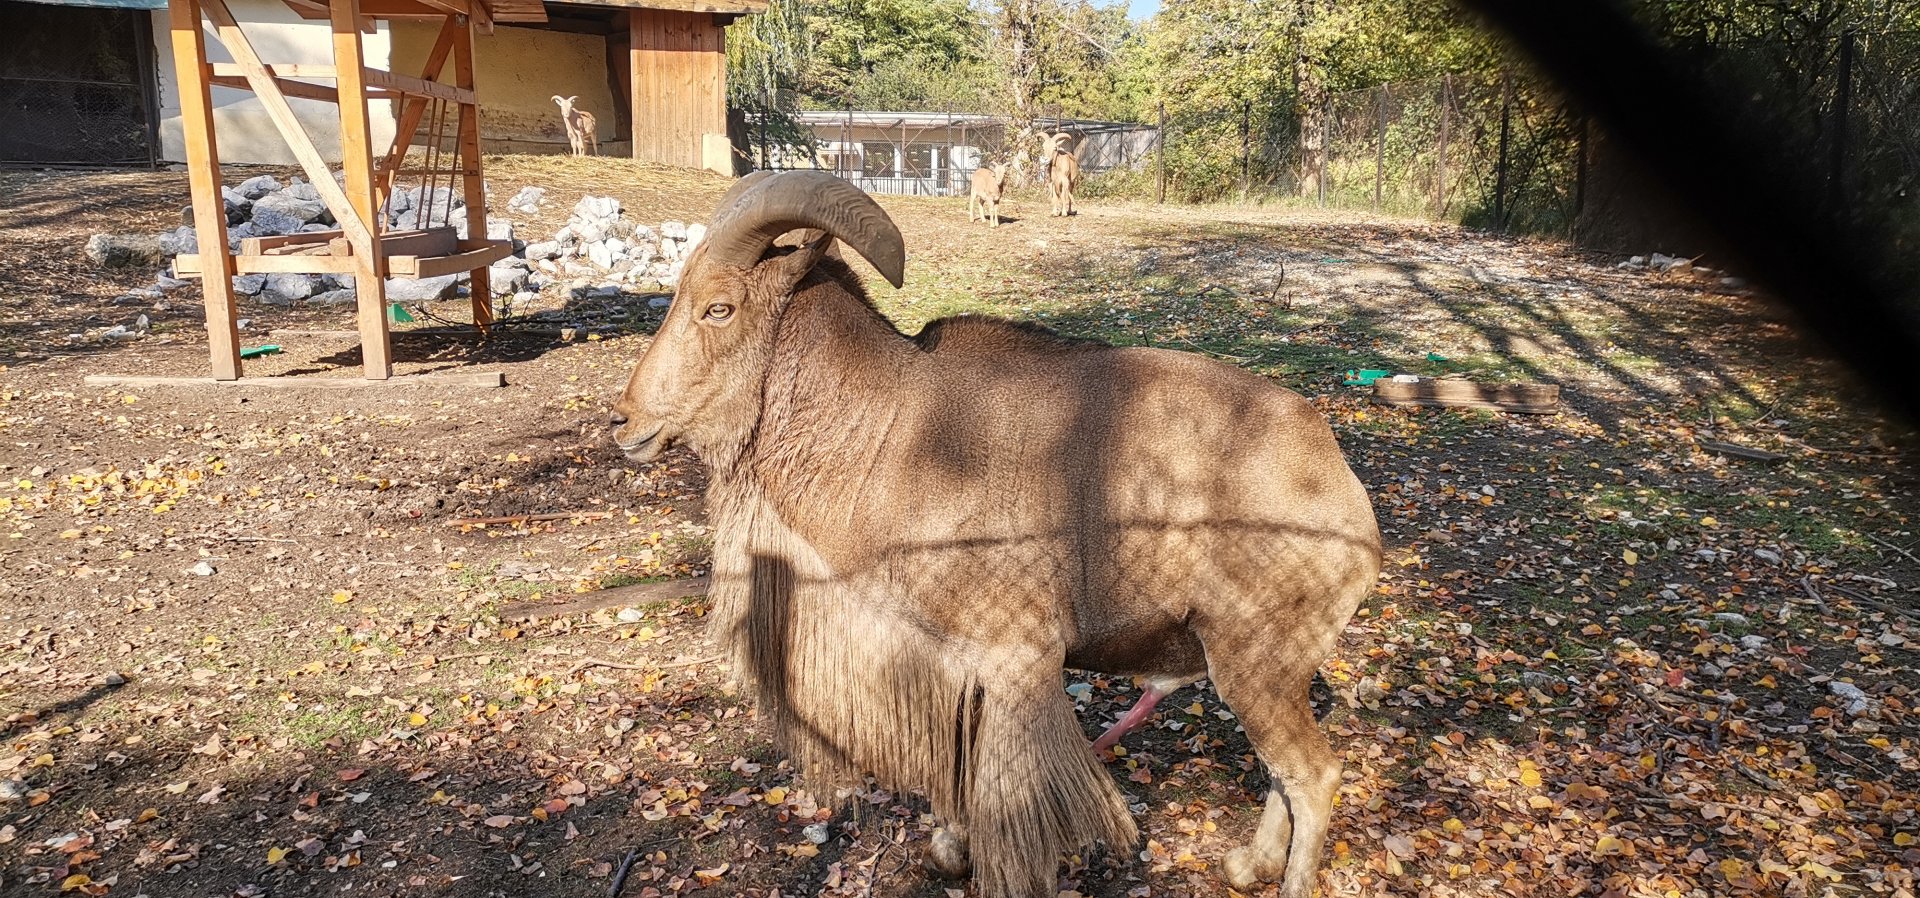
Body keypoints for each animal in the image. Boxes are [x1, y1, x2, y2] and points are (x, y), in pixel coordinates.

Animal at [609, 170, 1380, 898]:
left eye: (719, 306)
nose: (624, 422)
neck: (889, 433)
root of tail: (1345, 490)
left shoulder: (1018, 661)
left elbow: (1007, 807)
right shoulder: (944, 662)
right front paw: (949, 851)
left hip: (1258, 662)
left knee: (1314, 774)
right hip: (1261, 672)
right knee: (1282, 772)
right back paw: (1249, 865)